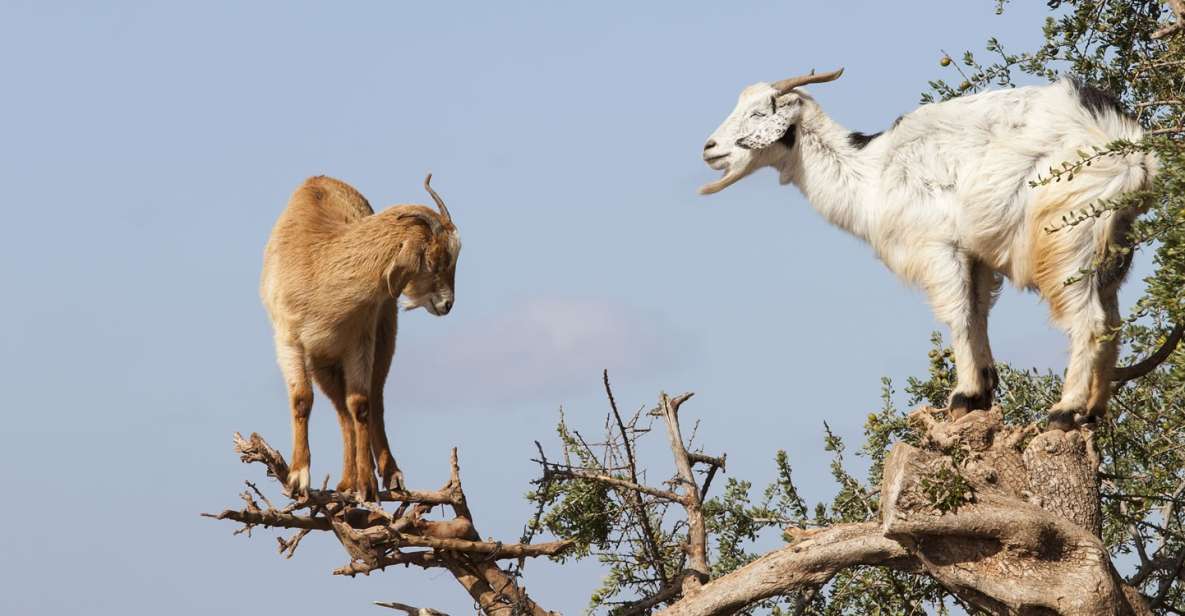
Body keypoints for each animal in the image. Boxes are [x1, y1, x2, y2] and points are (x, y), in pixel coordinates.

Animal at [261, 172, 459, 499]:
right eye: (435, 260)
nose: (447, 304)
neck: (319, 261)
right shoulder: (290, 341)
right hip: (324, 362)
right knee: (341, 412)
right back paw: (345, 481)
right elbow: (303, 400)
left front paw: (367, 485)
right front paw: (298, 476)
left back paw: (389, 475)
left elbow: (361, 404)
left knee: (373, 398)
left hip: (383, 336)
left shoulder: (360, 339)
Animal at [701, 68, 1156, 428]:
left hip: (1066, 238)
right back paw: (1093, 411)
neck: (872, 173)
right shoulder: (975, 255)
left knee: (1088, 321)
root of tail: (1130, 148)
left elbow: (957, 315)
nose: (709, 148)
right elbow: (977, 313)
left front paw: (963, 395)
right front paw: (982, 392)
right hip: (1111, 246)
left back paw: (1065, 411)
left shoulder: (938, 246)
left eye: (760, 113)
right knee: (1113, 321)